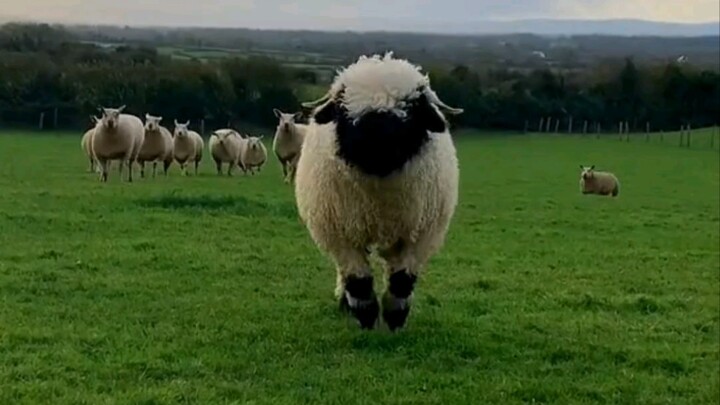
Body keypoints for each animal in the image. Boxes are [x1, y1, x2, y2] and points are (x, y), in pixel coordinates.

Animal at [295, 52, 463, 331]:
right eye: (344, 108)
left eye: (410, 107)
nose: (375, 145)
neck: (379, 199)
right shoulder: (339, 234)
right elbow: (357, 280)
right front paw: (366, 317)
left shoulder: (420, 235)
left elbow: (402, 280)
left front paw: (395, 317)